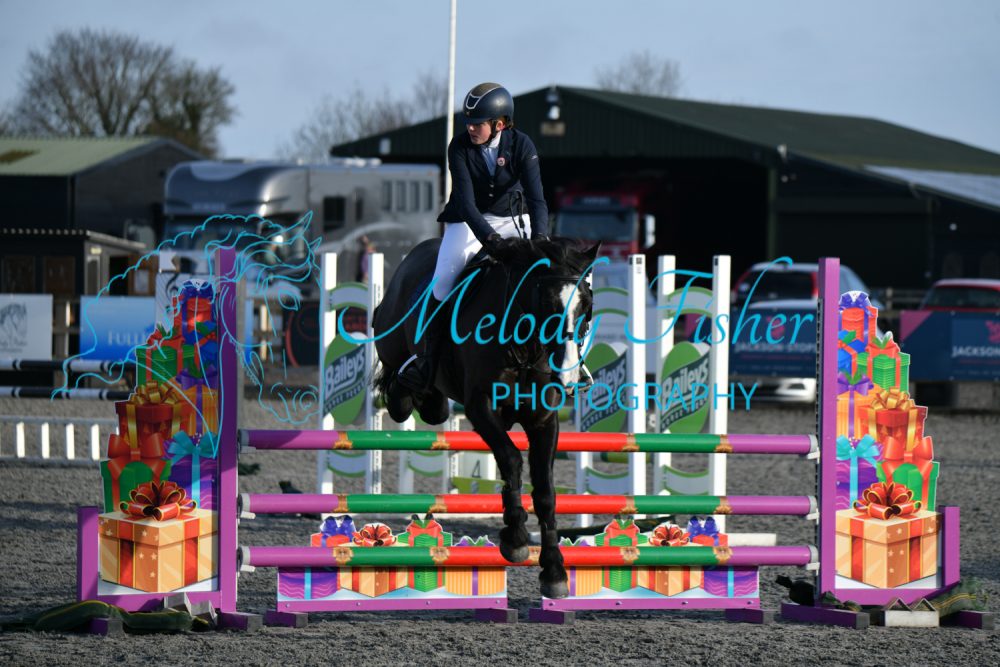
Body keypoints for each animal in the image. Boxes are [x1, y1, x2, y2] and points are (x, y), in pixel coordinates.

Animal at [372, 236, 598, 598]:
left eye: (585, 306)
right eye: (547, 304)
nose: (568, 376)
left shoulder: (543, 421)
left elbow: (545, 490)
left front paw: (553, 571)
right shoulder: (481, 408)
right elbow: (511, 459)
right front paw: (516, 540)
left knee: (433, 406)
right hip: (391, 342)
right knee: (399, 391)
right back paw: (406, 387)